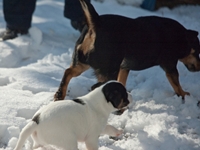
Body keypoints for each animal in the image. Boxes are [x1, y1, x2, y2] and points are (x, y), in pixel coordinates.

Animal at [54, 0, 200, 101]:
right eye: (197, 52)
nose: (199, 67)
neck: (181, 37)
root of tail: (96, 23)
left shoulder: (124, 67)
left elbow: (122, 81)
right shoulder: (170, 66)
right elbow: (176, 84)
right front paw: (185, 95)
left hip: (82, 63)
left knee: (68, 72)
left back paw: (59, 95)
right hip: (108, 69)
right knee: (97, 85)